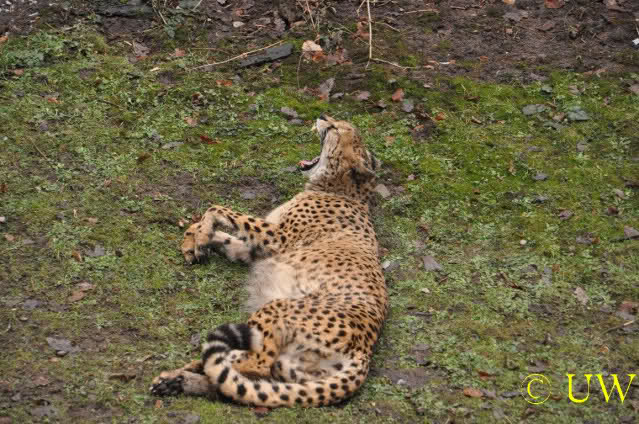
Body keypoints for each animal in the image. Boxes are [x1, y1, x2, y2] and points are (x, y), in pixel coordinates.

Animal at [150, 114, 388, 408]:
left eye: (334, 128)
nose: (322, 117)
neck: (341, 189)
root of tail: (365, 351)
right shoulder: (256, 250)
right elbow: (223, 231)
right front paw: (195, 240)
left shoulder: (277, 238)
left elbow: (218, 208)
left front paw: (200, 234)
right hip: (291, 368)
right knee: (240, 380)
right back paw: (176, 379)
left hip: (279, 309)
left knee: (252, 363)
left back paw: (198, 366)